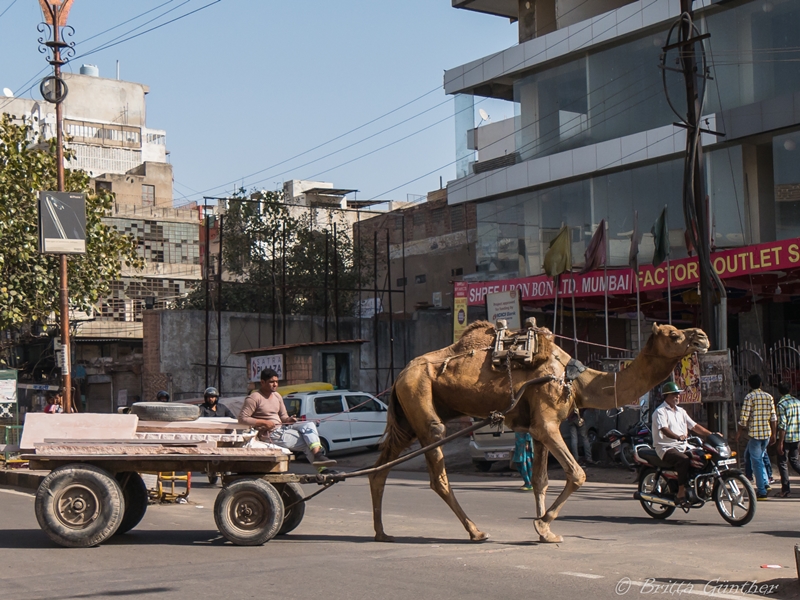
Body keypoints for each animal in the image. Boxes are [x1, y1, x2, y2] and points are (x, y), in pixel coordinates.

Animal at [368, 324, 708, 544]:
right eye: (674, 334)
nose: (702, 337)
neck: (575, 379)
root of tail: (400, 374)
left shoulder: (540, 426)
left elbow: (542, 480)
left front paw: (545, 532)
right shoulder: (546, 420)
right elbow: (577, 474)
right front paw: (543, 525)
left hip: (405, 417)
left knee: (379, 469)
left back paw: (381, 532)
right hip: (420, 400)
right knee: (437, 472)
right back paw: (476, 532)